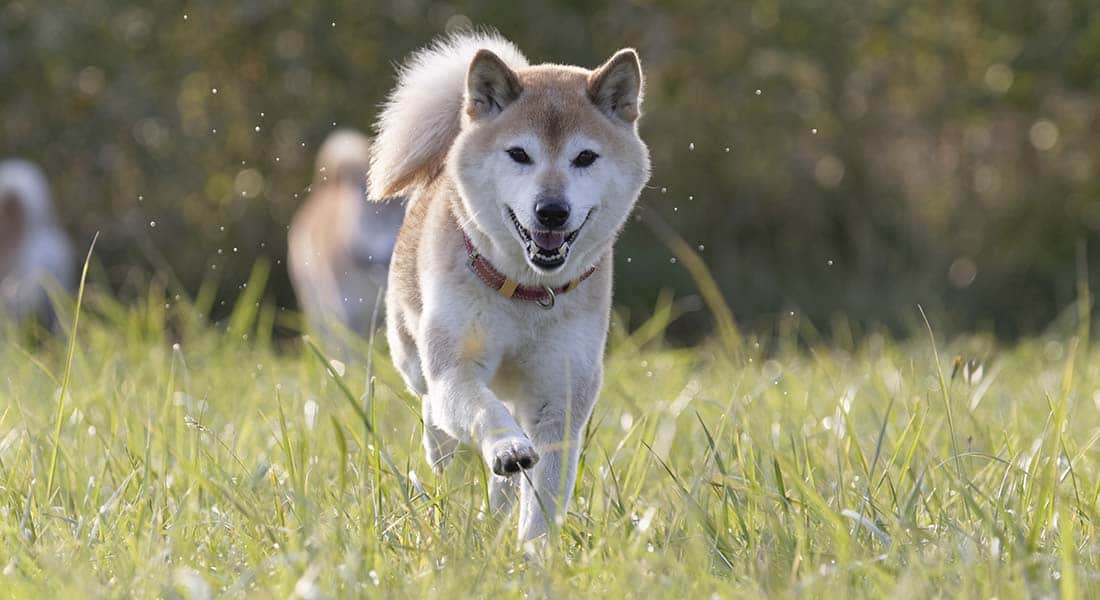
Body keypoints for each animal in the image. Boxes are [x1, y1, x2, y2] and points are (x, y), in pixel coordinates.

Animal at [371, 31, 642, 537]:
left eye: (584, 157)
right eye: (519, 154)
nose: (551, 211)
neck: (528, 293)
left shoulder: (560, 397)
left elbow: (543, 497)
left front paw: (533, 552)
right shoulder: (456, 367)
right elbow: (483, 410)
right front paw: (507, 448)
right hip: (415, 362)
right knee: (438, 424)